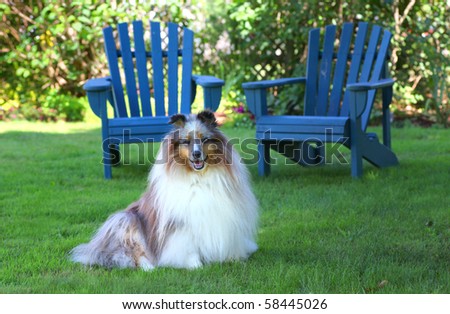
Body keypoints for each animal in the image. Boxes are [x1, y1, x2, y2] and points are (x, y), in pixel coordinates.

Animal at [71, 110, 258, 270]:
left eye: (204, 140)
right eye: (186, 142)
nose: (196, 154)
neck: (199, 177)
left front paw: (234, 259)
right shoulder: (181, 224)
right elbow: (189, 248)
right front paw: (195, 265)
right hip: (126, 221)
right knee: (132, 255)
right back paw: (149, 268)